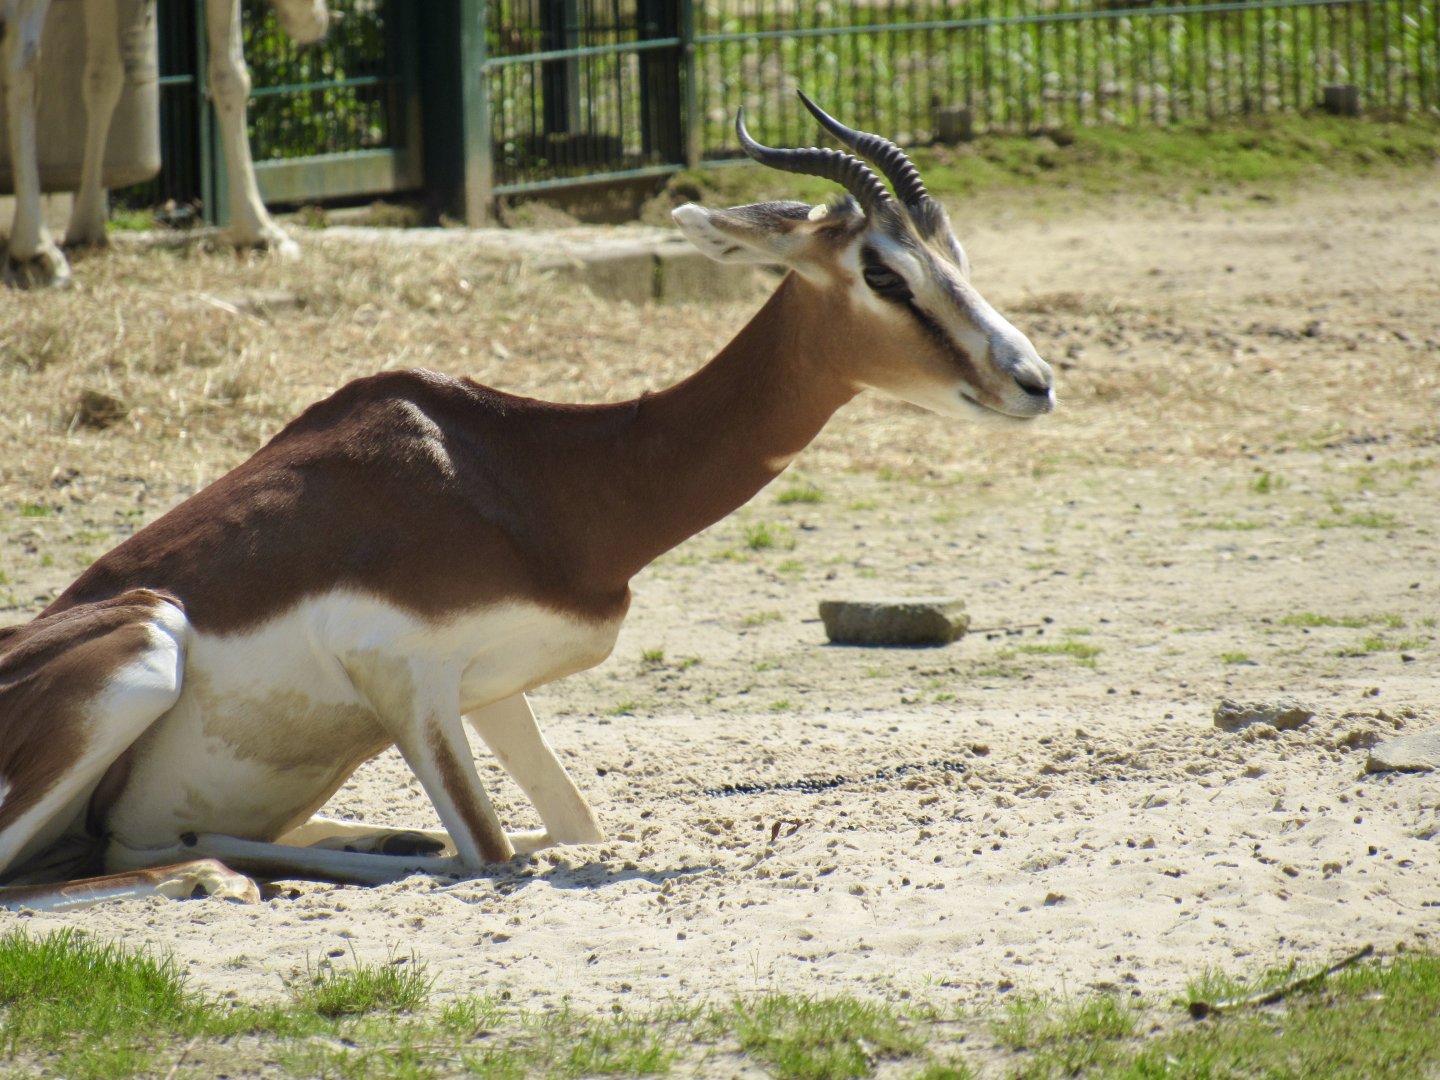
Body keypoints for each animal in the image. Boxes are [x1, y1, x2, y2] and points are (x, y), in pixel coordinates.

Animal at [0, 94, 1055, 910]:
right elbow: (495, 854)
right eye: (883, 271)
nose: (1034, 381)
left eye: (954, 254)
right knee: (87, 860)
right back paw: (225, 869)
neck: (534, 480)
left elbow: (572, 827)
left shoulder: (493, 688)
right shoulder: (407, 680)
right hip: (148, 644)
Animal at [3, 0, 327, 288]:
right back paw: (37, 251)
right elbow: (231, 73)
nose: (316, 22)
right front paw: (262, 232)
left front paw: (86, 228)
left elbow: (103, 76)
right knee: (22, 53)